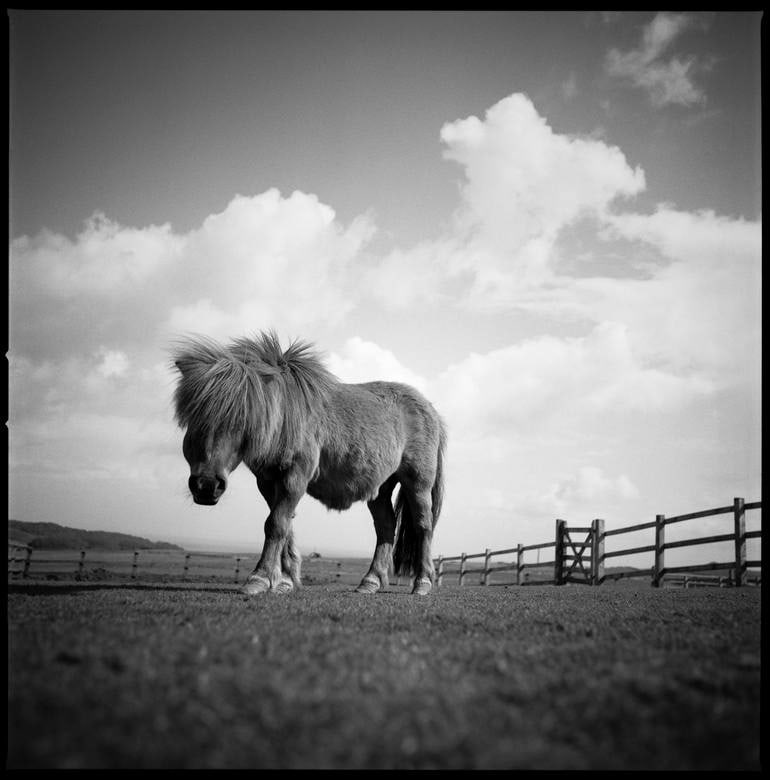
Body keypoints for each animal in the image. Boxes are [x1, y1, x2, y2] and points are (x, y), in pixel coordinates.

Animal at [171, 331, 446, 596]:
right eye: (195, 420)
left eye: (242, 420)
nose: (207, 485)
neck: (285, 416)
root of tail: (431, 410)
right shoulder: (268, 482)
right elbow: (284, 525)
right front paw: (284, 580)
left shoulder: (296, 477)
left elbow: (276, 524)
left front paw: (258, 579)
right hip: (380, 488)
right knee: (385, 528)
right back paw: (370, 582)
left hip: (417, 483)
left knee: (423, 526)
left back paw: (422, 583)